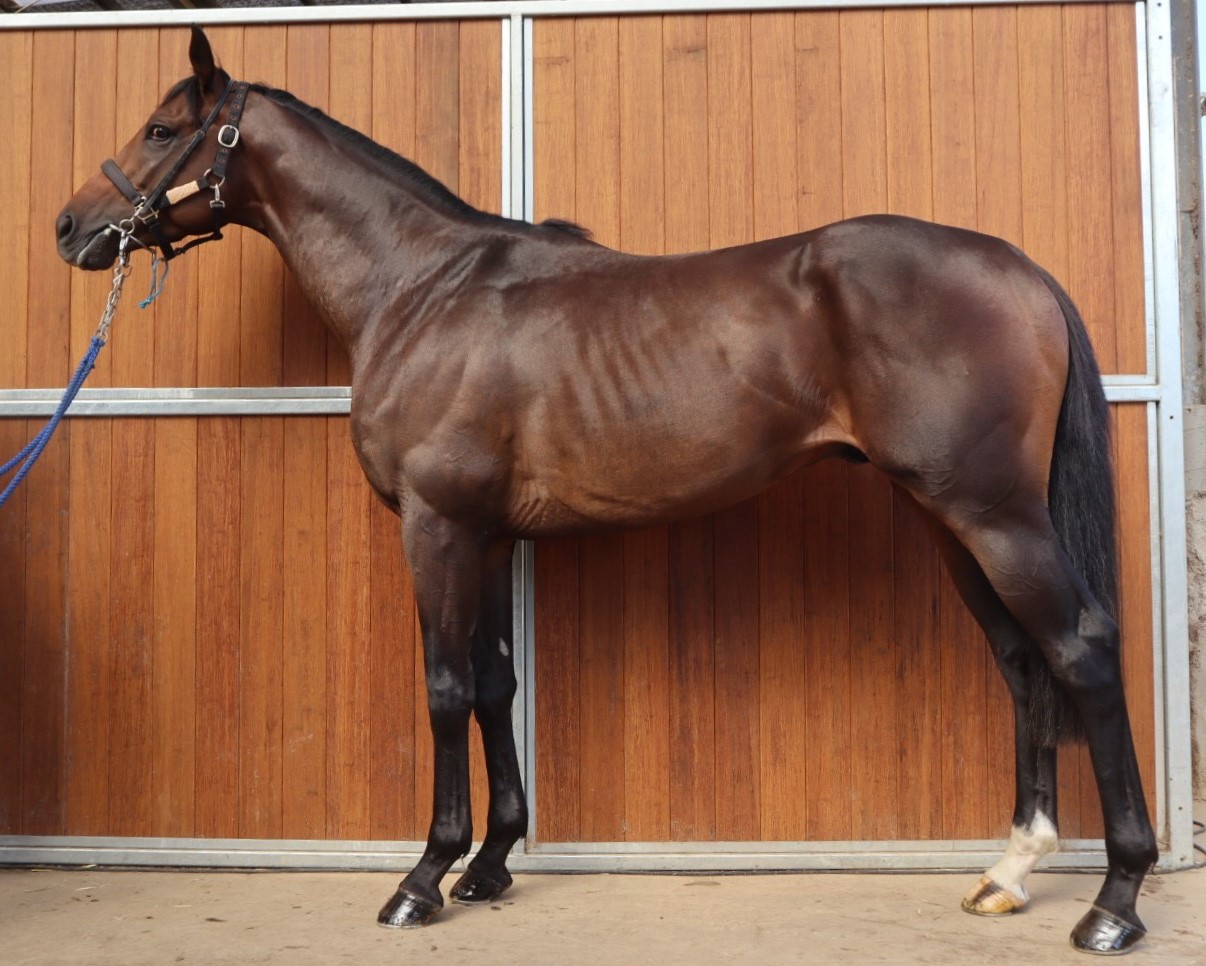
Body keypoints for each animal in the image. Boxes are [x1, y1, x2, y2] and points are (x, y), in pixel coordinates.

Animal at [55, 27, 1156, 955]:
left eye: (161, 129)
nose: (72, 228)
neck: (423, 288)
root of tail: (1017, 268)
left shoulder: (437, 528)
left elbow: (445, 687)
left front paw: (422, 879)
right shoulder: (488, 535)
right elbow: (495, 685)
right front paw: (492, 866)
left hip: (994, 516)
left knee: (1080, 650)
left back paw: (1114, 903)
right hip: (948, 521)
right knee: (1020, 661)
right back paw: (1009, 871)